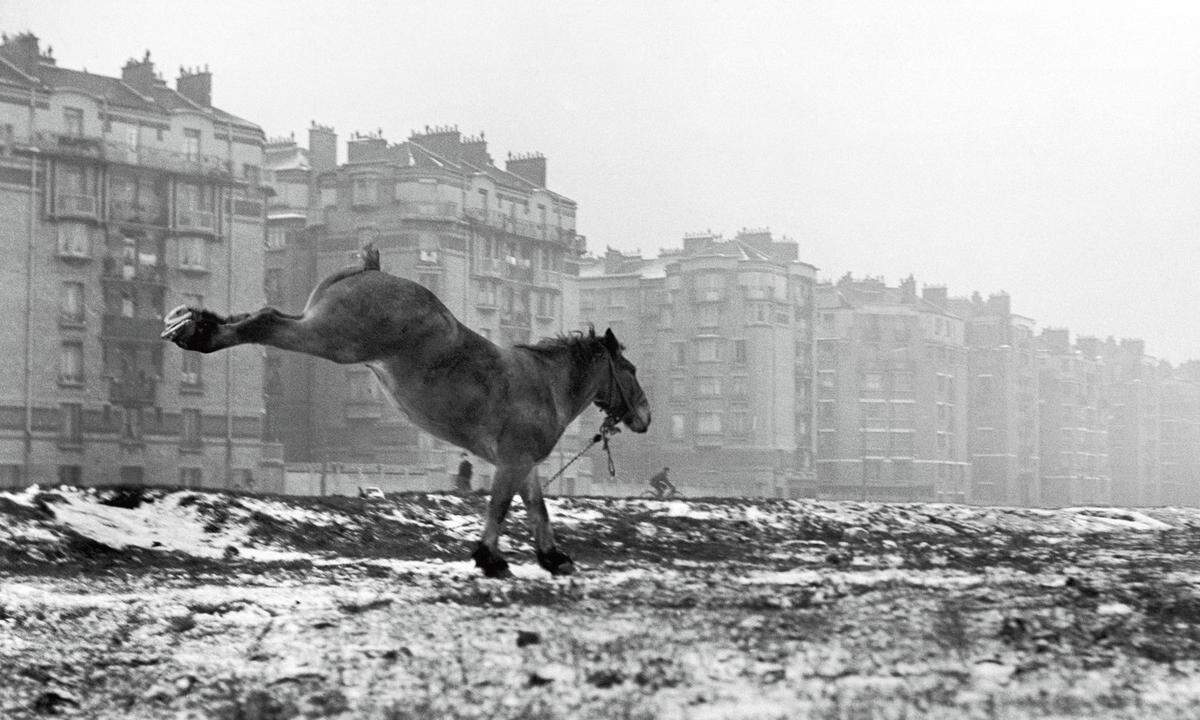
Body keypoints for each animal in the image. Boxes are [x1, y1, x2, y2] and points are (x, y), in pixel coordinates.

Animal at [160, 247, 652, 578]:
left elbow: (536, 507)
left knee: (257, 316)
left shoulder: (522, 462)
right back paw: (196, 333)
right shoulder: (512, 460)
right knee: (263, 320)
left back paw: (194, 324)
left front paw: (552, 557)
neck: (542, 383)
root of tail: (369, 270)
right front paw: (491, 559)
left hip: (317, 328)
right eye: (629, 369)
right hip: (329, 339)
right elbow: (500, 508)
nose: (646, 416)